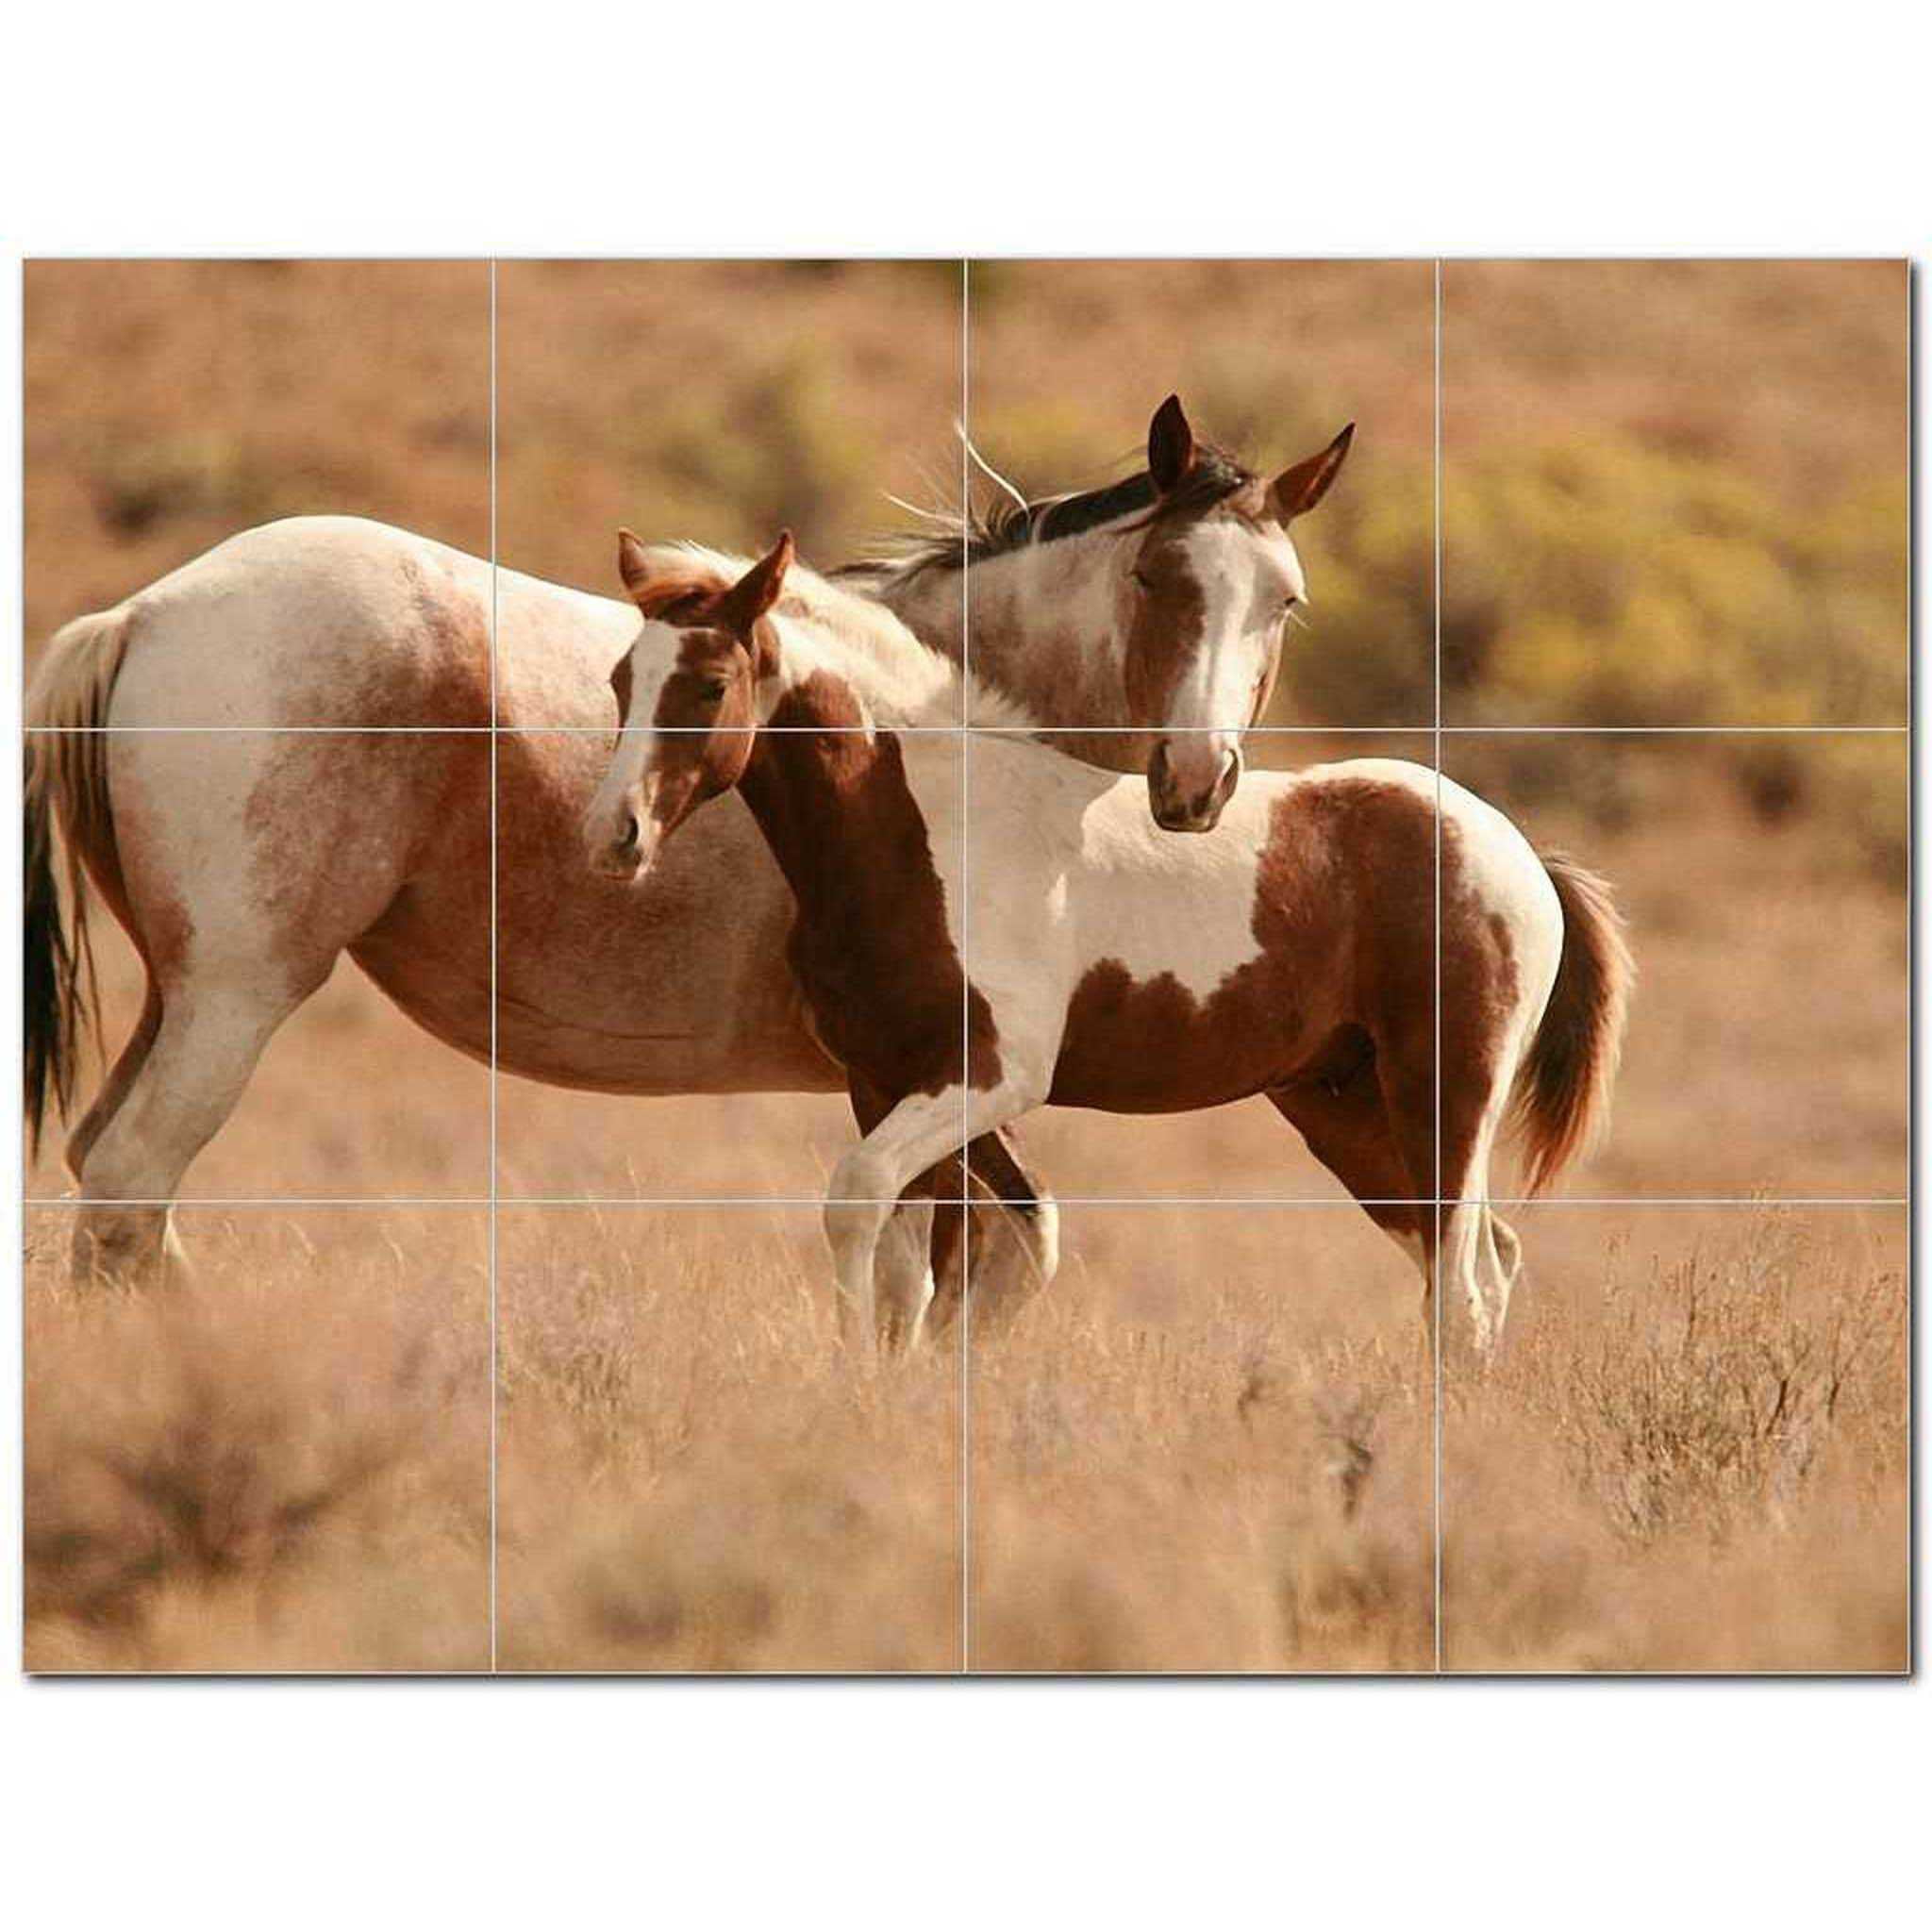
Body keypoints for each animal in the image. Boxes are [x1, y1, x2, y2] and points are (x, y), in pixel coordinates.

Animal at [586, 535, 1633, 1355]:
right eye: (620, 680)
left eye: (711, 684)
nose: (614, 835)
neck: (925, 828)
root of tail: (1518, 853)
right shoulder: (882, 1079)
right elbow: (905, 1267)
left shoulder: (989, 1078)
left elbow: (855, 1198)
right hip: (1345, 1107)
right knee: (1478, 1263)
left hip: (1445, 1091)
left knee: (1461, 1283)